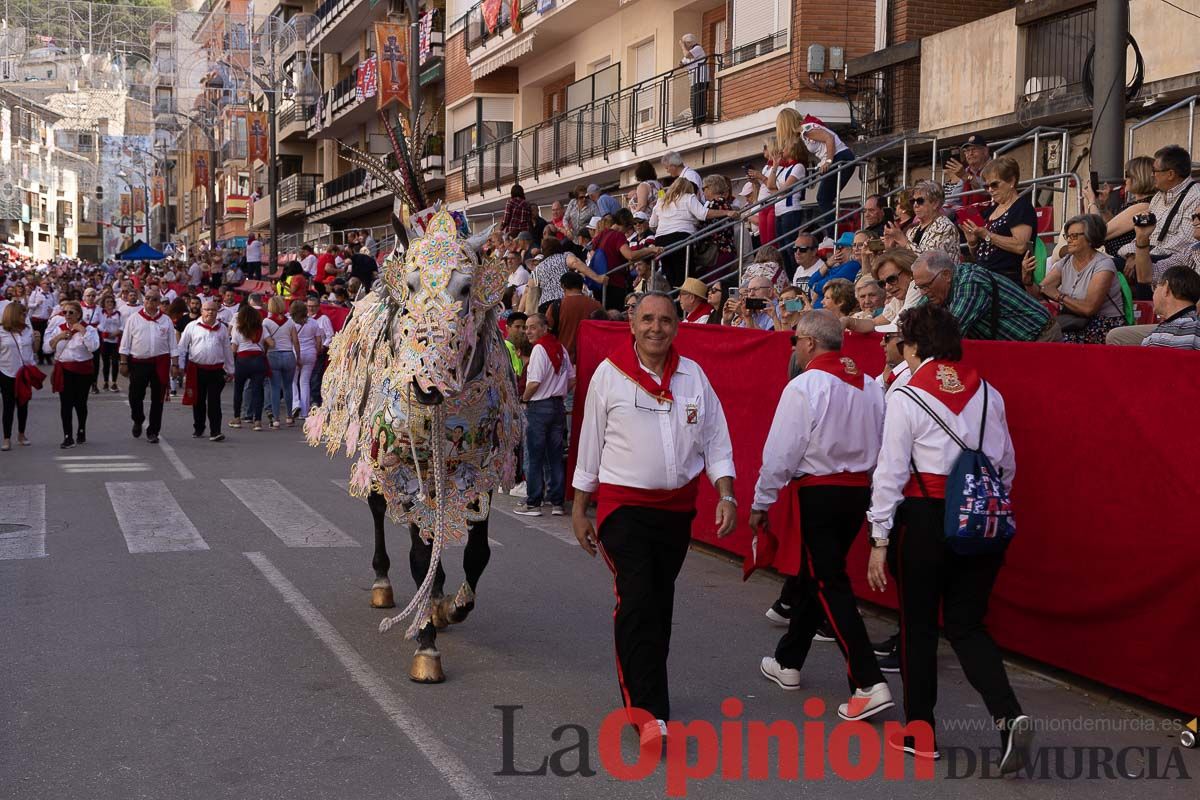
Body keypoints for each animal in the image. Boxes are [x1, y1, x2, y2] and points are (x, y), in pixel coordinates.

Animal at [304, 115, 520, 686]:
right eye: (413, 283)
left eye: (467, 287)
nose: (426, 385)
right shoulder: (400, 462)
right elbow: (419, 553)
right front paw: (425, 645)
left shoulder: (481, 465)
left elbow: (477, 551)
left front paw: (454, 605)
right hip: (376, 452)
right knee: (382, 512)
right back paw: (385, 585)